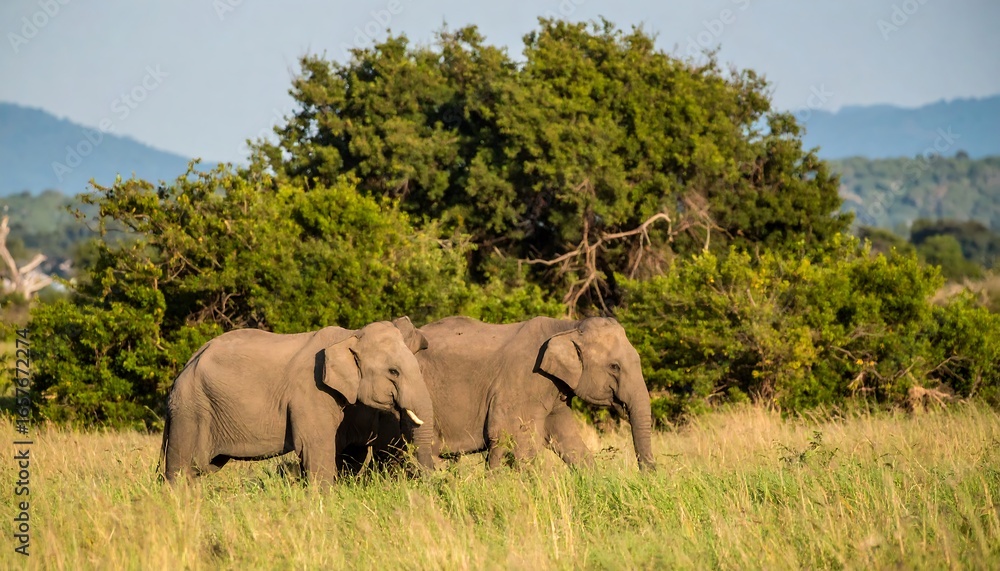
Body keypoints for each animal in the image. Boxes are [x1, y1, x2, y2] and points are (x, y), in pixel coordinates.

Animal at [159, 317, 435, 485]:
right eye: (393, 372)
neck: (349, 336)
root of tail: (186, 366)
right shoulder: (311, 390)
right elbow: (314, 447)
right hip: (190, 410)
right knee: (181, 469)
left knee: (199, 469)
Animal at [339, 316, 655, 471]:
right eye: (614, 367)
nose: (647, 476)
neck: (568, 326)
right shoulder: (523, 380)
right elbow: (516, 440)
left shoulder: (554, 389)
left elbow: (567, 440)